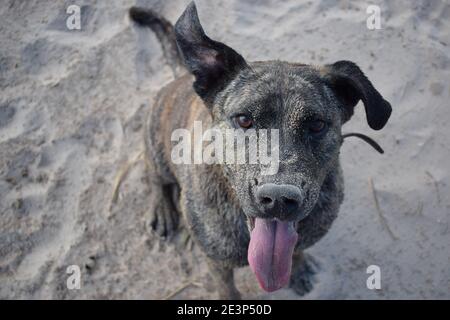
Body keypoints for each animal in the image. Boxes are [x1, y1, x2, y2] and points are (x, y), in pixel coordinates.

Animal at [129, 1, 390, 298]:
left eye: (316, 125)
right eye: (244, 120)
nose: (278, 199)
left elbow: (296, 250)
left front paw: (299, 268)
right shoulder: (216, 261)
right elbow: (227, 288)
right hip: (157, 145)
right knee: (154, 174)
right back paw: (161, 207)